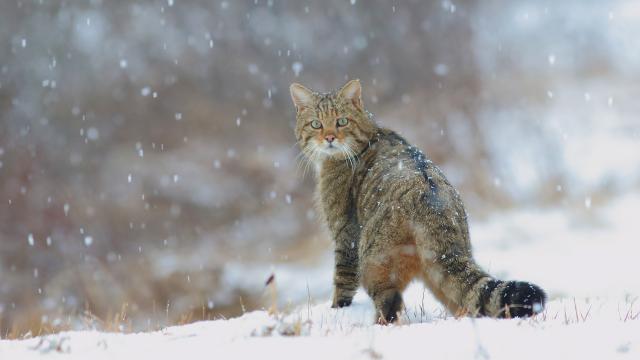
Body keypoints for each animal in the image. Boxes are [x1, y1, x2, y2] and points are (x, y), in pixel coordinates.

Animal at [290, 79, 544, 324]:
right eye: (316, 124)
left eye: (341, 121)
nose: (329, 137)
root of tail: (432, 203)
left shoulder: (345, 234)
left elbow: (342, 283)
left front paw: (336, 311)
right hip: (439, 272)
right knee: (466, 300)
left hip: (372, 261)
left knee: (390, 302)